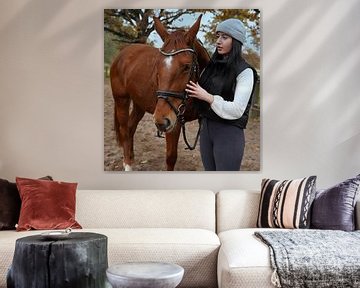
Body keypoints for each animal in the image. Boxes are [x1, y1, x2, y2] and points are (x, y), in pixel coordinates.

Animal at [111, 15, 210, 171]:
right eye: (157, 64)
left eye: (187, 67)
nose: (161, 120)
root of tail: (123, 53)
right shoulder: (174, 123)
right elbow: (171, 157)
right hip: (122, 100)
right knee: (125, 130)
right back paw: (127, 164)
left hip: (140, 105)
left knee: (130, 128)